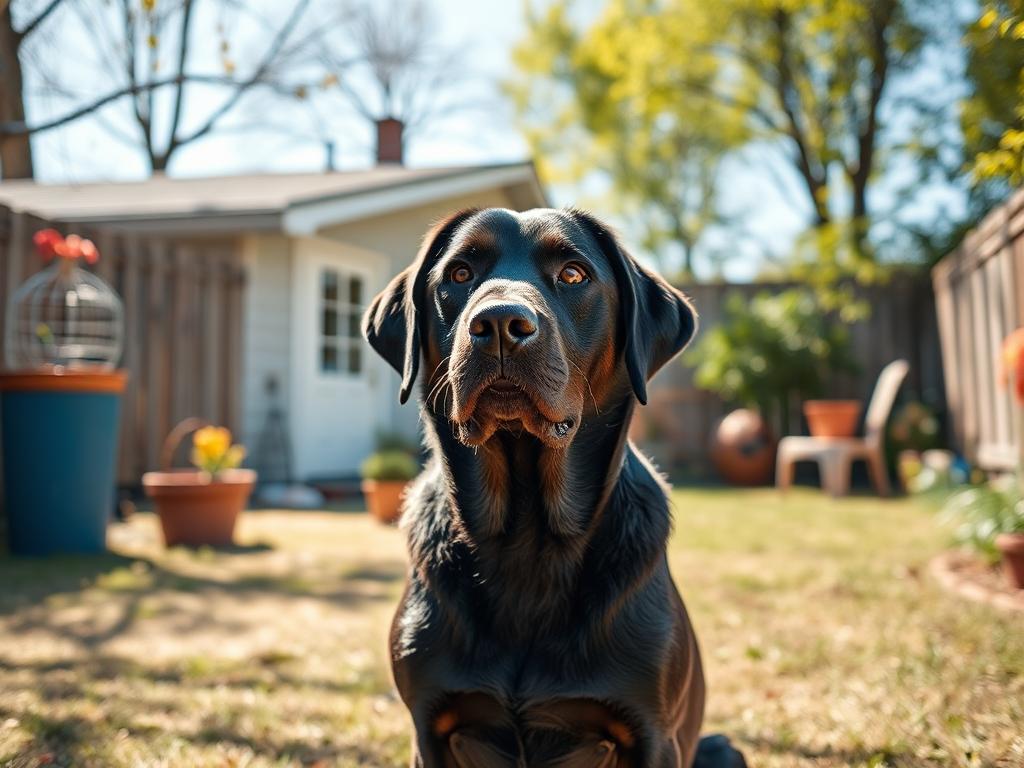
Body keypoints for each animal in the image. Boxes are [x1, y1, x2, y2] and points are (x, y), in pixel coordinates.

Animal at [362, 207, 745, 765]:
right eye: (458, 274)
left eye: (573, 274)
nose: (500, 323)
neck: (527, 536)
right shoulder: (429, 726)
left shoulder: (653, 733)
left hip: (721, 748)